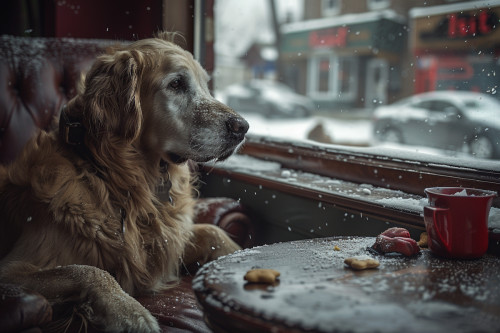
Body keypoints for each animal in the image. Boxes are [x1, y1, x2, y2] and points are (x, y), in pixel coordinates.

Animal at [0, 32, 248, 330]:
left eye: (205, 85)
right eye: (176, 84)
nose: (243, 127)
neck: (117, 180)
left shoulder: (169, 241)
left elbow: (214, 232)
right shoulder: (12, 270)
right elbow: (89, 270)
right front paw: (130, 312)